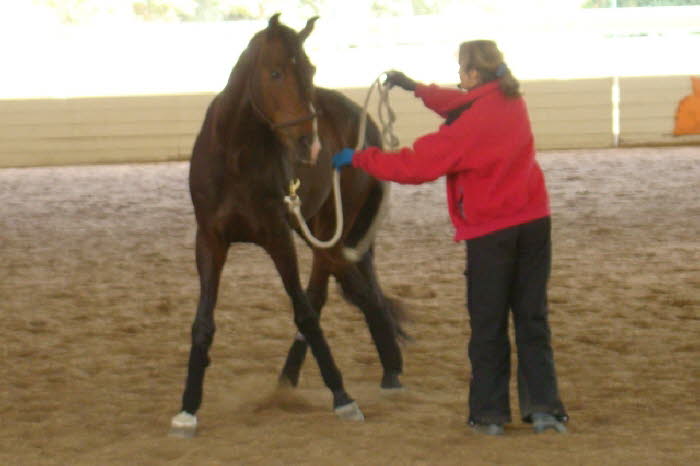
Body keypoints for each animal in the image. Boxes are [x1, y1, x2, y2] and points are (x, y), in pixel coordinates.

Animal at [170, 14, 408, 436]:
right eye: (276, 73)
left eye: (310, 70)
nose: (307, 143)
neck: (235, 158)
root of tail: (365, 121)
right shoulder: (210, 241)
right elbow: (203, 323)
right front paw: (188, 408)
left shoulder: (278, 239)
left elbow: (305, 314)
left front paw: (343, 398)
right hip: (315, 230)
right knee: (355, 289)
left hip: (329, 231)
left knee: (343, 293)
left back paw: (385, 370)